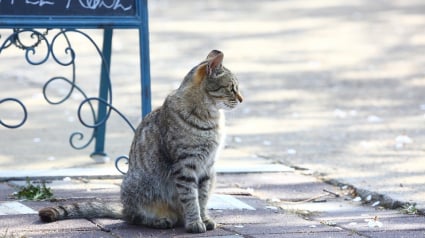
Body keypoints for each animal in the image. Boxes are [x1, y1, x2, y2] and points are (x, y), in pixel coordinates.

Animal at [38, 49, 243, 233]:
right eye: (231, 88)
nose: (241, 99)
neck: (211, 118)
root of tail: (124, 207)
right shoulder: (186, 165)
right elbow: (191, 197)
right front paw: (194, 222)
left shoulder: (208, 168)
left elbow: (203, 197)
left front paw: (204, 218)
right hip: (138, 188)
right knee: (134, 217)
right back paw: (160, 220)